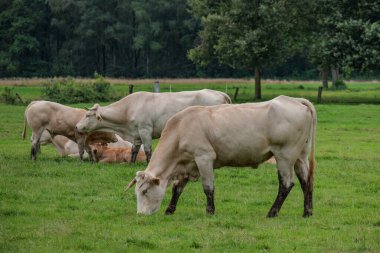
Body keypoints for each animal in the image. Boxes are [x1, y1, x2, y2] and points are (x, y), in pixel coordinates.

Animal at [75, 89, 232, 162]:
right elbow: (134, 150)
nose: (76, 126)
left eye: (87, 115)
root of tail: (216, 92)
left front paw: (148, 161)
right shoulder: (136, 134)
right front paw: (131, 163)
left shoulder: (145, 130)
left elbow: (148, 149)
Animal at [126, 96, 316, 218]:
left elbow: (208, 187)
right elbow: (177, 188)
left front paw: (210, 211)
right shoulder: (186, 165)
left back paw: (272, 212)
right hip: (300, 156)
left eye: (144, 191)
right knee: (306, 182)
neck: (180, 129)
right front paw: (169, 210)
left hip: (284, 155)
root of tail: (293, 100)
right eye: (136, 192)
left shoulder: (204, 157)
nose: (140, 214)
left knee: (286, 184)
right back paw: (307, 212)